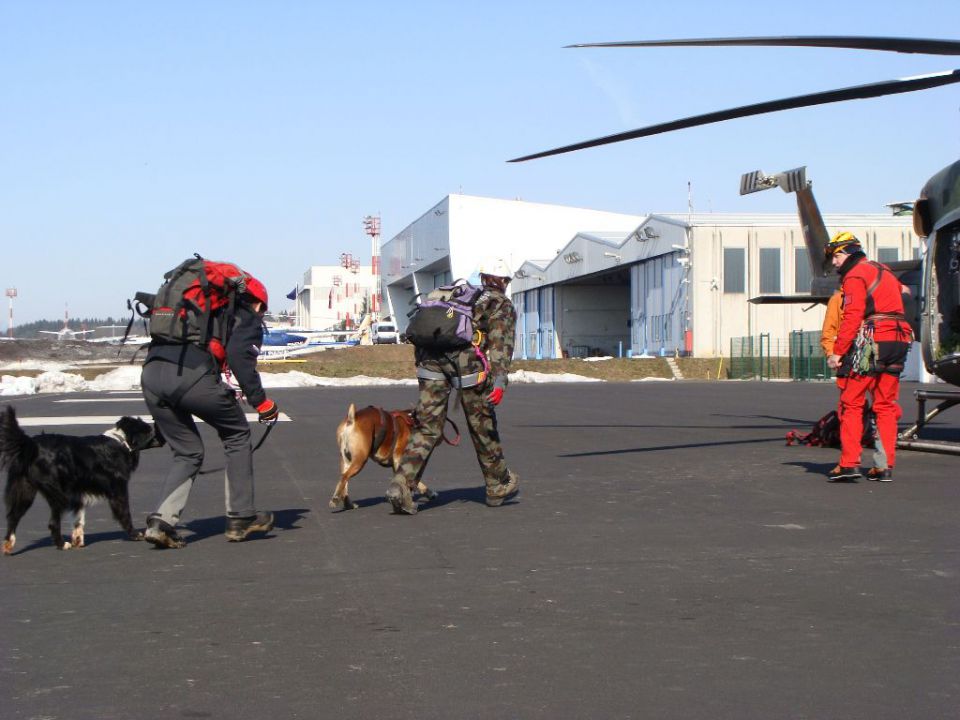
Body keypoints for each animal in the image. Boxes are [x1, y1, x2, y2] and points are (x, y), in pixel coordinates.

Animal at [1, 408, 165, 556]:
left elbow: (78, 518)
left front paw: (78, 540)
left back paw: (8, 546)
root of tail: (30, 445)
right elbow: (124, 513)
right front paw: (135, 534)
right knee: (52, 523)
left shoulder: (77, 493)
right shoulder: (118, 489)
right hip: (57, 494)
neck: (121, 441)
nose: (163, 437)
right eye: (149, 429)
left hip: (25, 490)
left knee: (12, 516)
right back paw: (62, 545)